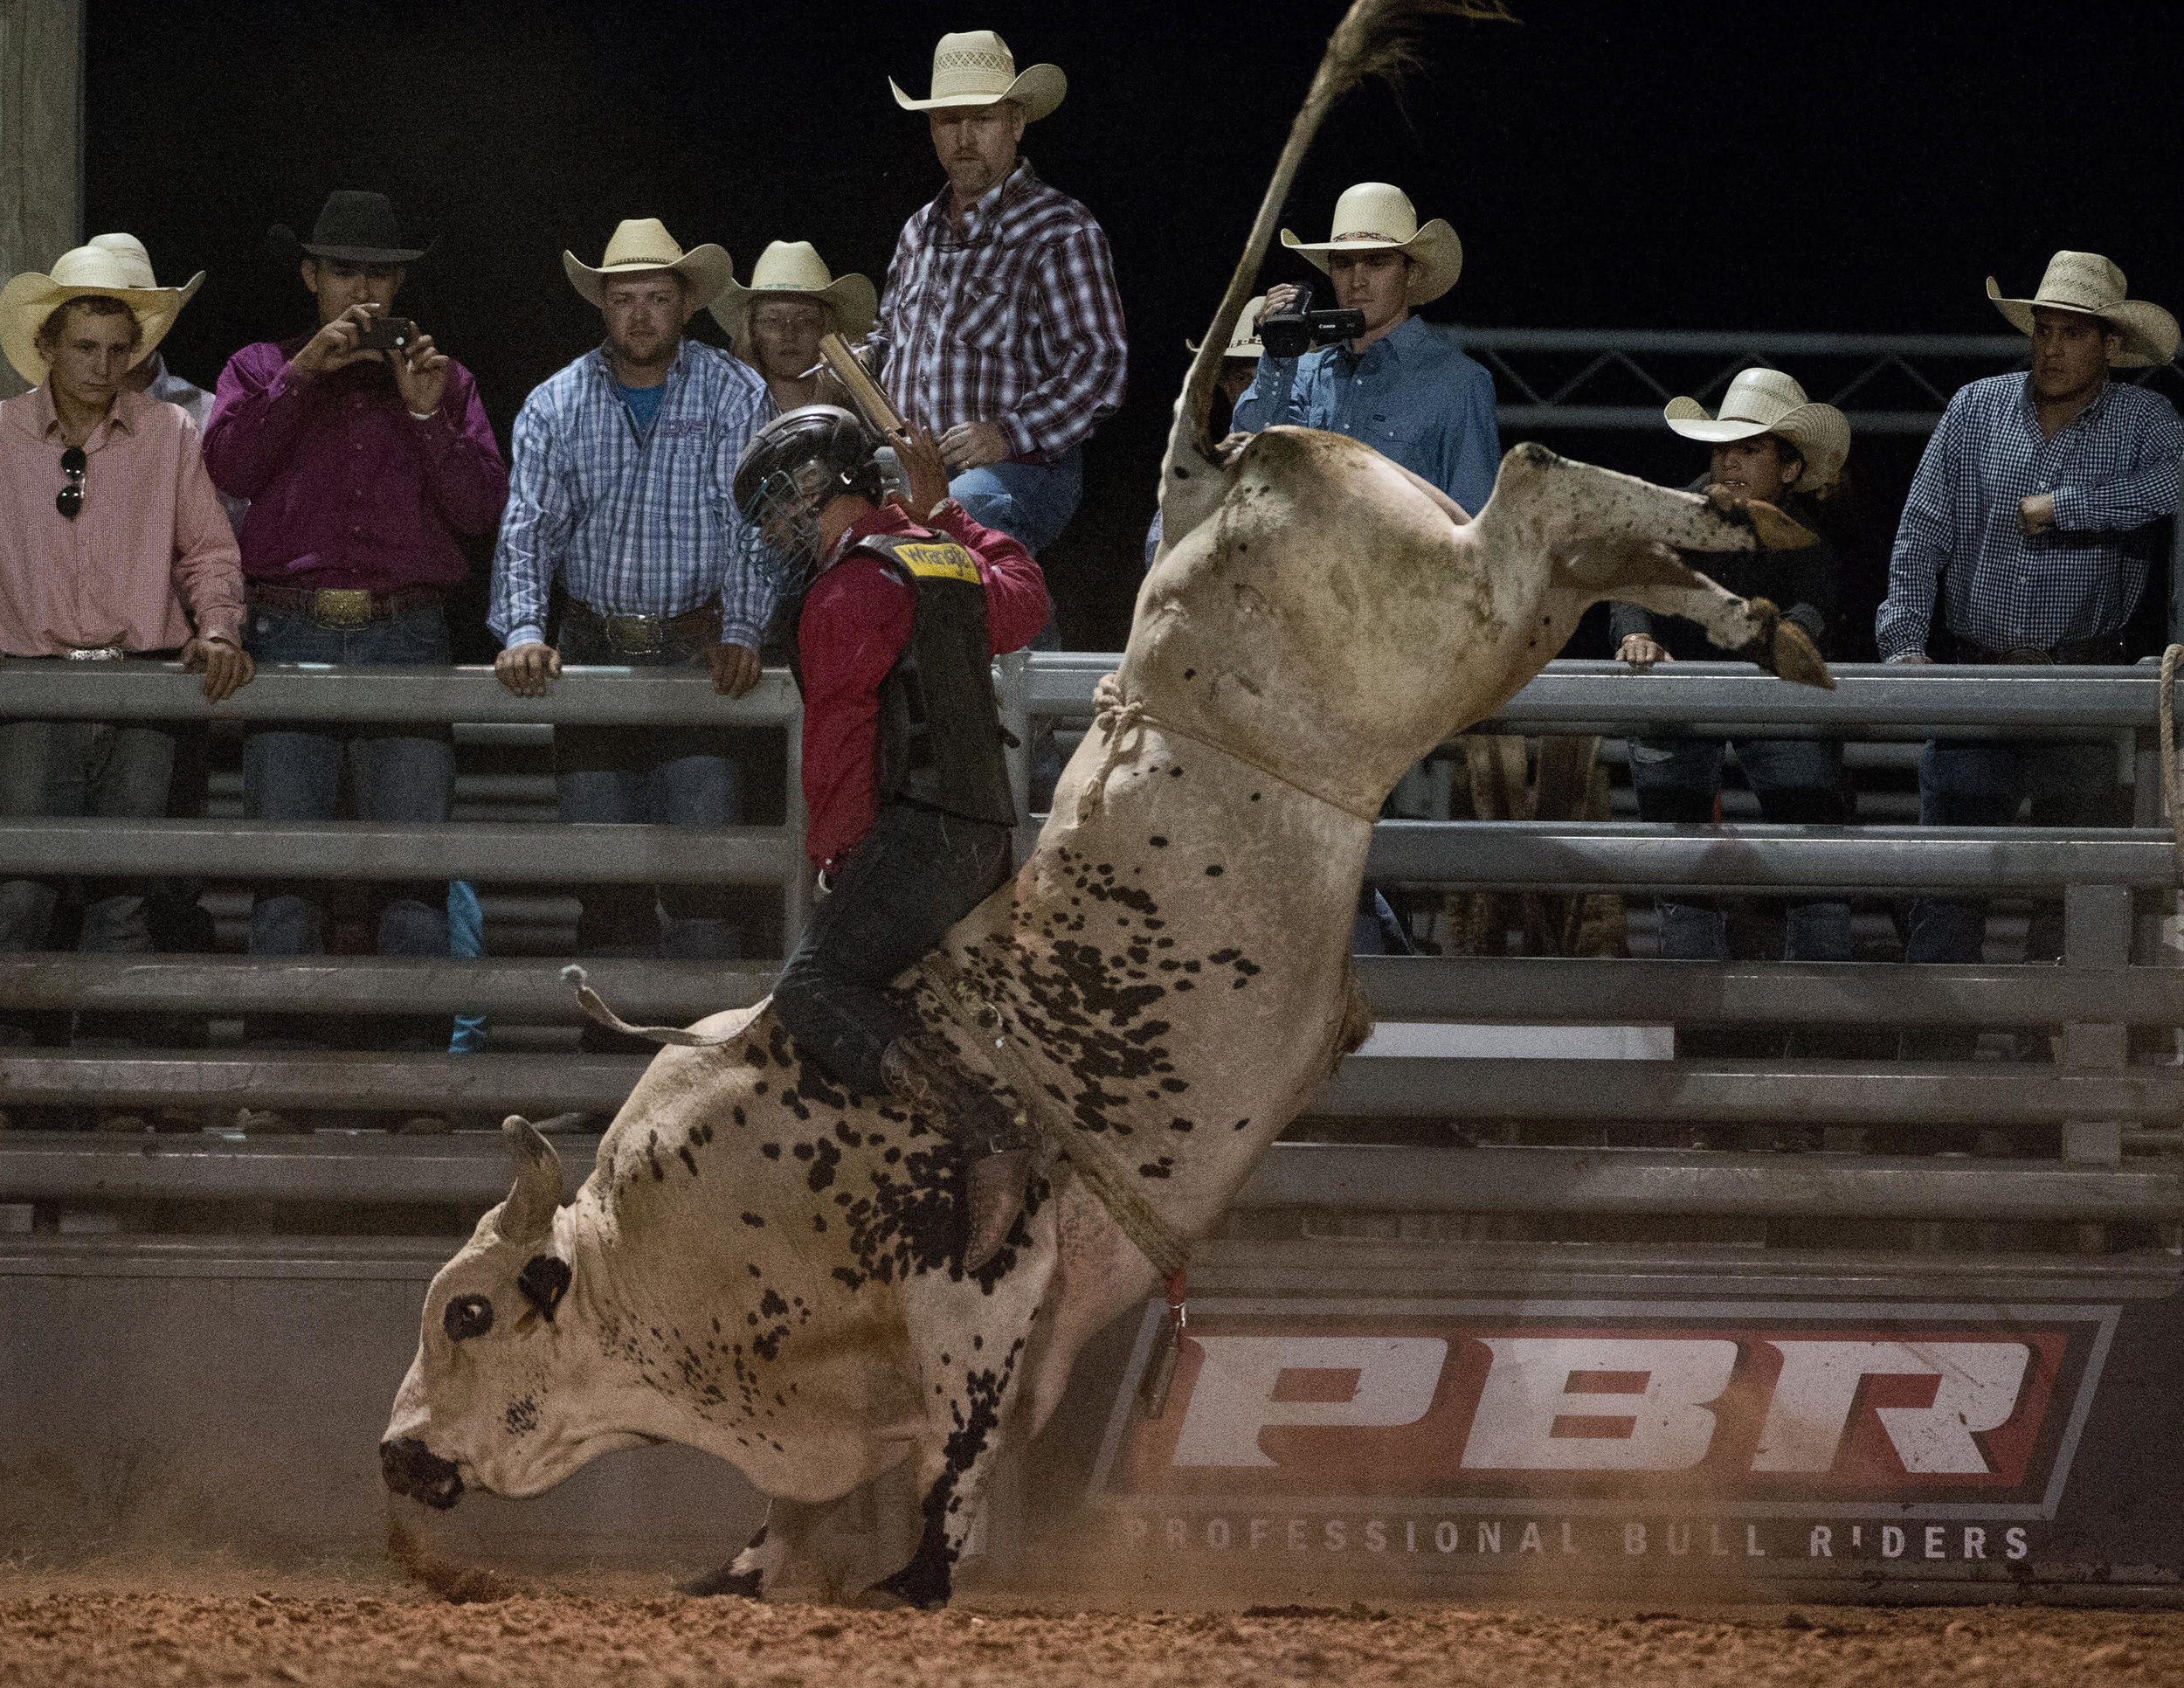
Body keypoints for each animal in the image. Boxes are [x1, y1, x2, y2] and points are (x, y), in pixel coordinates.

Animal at [384, 0, 1835, 1607]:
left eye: (464, 1312)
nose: (393, 1453)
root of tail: (1212, 472)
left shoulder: (979, 1298)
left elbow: (955, 1462)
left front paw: (913, 1581)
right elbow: (815, 1506)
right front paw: (753, 1562)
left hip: (1443, 628)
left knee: (1535, 483)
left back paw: (1747, 525)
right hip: (1473, 625)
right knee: (1582, 540)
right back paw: (1759, 600)